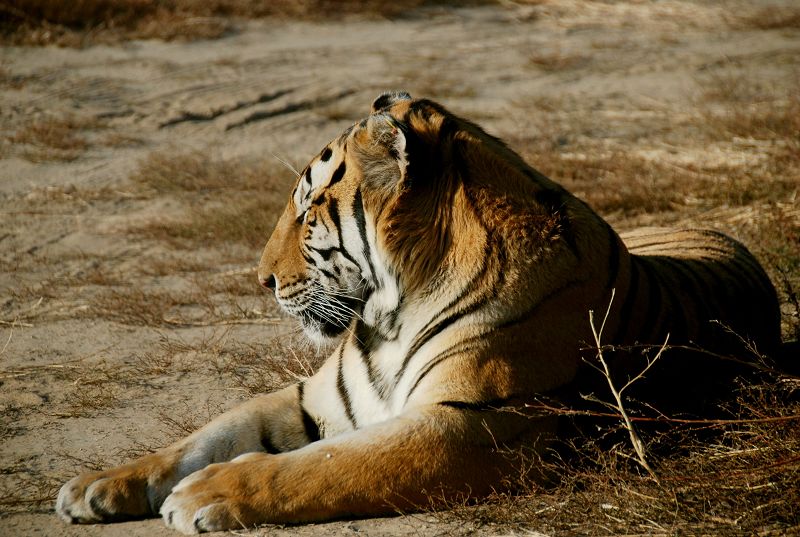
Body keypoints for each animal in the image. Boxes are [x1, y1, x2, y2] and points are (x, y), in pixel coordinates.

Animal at [56, 92, 782, 534]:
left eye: (307, 210)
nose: (261, 279)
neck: (390, 315)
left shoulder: (466, 427)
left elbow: (322, 466)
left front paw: (204, 495)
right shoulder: (313, 398)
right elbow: (198, 437)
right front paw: (96, 485)